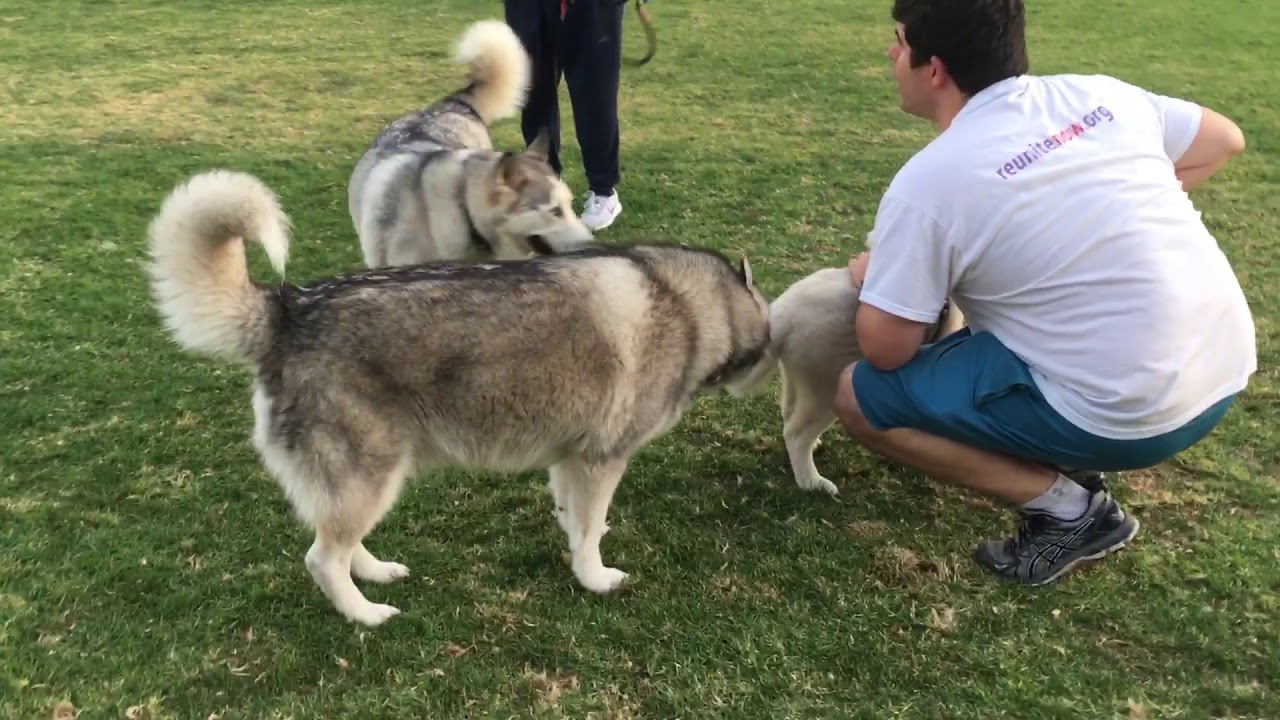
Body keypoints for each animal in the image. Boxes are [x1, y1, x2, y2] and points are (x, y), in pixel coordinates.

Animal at [146, 167, 773, 622]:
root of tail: (288, 309)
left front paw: (578, 548)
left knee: (339, 543)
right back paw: (367, 615)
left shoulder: (570, 457)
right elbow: (591, 530)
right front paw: (596, 579)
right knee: (322, 558)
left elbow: (576, 521)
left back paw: (374, 573)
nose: (773, 362)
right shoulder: (602, 459)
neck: (691, 306)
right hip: (371, 477)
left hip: (361, 484)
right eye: (769, 336)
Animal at [732, 266, 962, 497]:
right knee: (795, 434)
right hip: (829, 385)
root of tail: (781, 318)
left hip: (799, 377)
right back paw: (812, 482)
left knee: (789, 412)